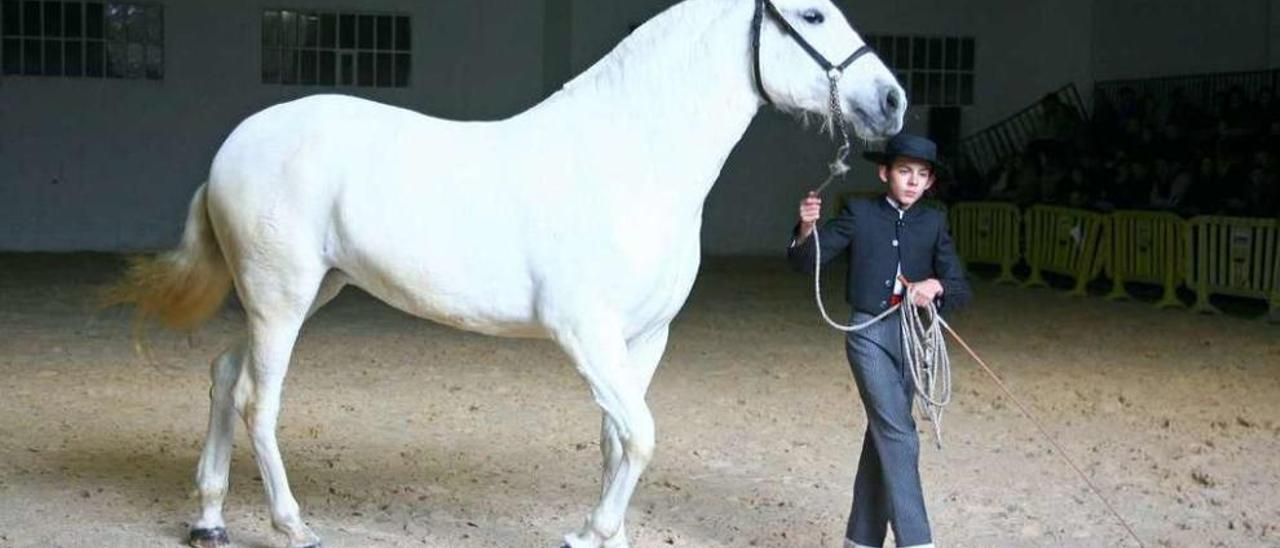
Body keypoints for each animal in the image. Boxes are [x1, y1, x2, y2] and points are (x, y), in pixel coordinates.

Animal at [110, 2, 906, 545]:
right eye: (812, 14)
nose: (892, 100)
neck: (631, 157)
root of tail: (233, 146)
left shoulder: (644, 338)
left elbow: (620, 438)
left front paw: (608, 530)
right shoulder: (585, 332)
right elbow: (641, 435)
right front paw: (589, 532)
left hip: (299, 295)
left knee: (223, 375)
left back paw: (210, 519)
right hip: (282, 297)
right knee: (257, 401)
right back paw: (292, 524)